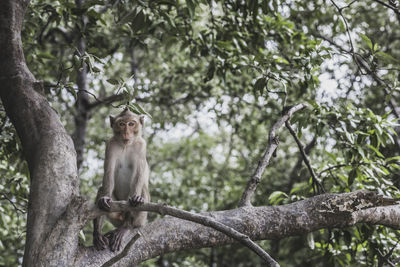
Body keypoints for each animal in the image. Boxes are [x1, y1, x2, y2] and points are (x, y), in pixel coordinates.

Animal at [92, 108, 150, 252]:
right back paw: (98, 233)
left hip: (142, 218)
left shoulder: (141, 145)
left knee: (142, 189)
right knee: (102, 189)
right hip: (116, 216)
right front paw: (104, 199)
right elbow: (108, 174)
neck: (126, 145)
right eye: (122, 124)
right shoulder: (110, 145)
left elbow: (138, 175)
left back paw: (126, 226)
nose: (126, 132)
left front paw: (136, 199)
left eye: (131, 124)